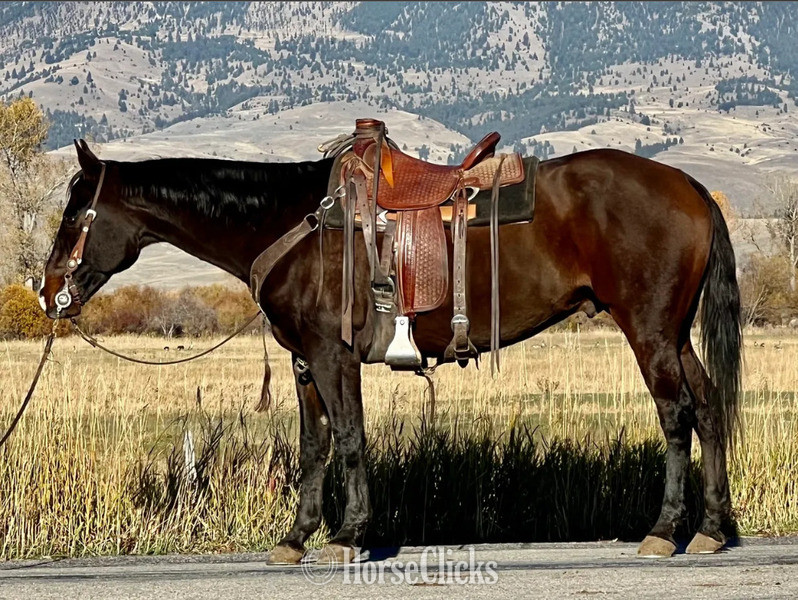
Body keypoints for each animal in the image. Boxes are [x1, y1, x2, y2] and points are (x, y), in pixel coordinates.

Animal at [40, 138, 741, 564]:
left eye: (76, 216)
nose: (48, 291)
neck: (290, 225)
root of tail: (689, 186)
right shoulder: (303, 362)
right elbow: (314, 444)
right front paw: (296, 538)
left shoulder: (333, 356)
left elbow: (350, 437)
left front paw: (349, 536)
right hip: (674, 333)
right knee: (709, 410)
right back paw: (711, 528)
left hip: (648, 331)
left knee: (676, 416)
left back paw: (663, 532)